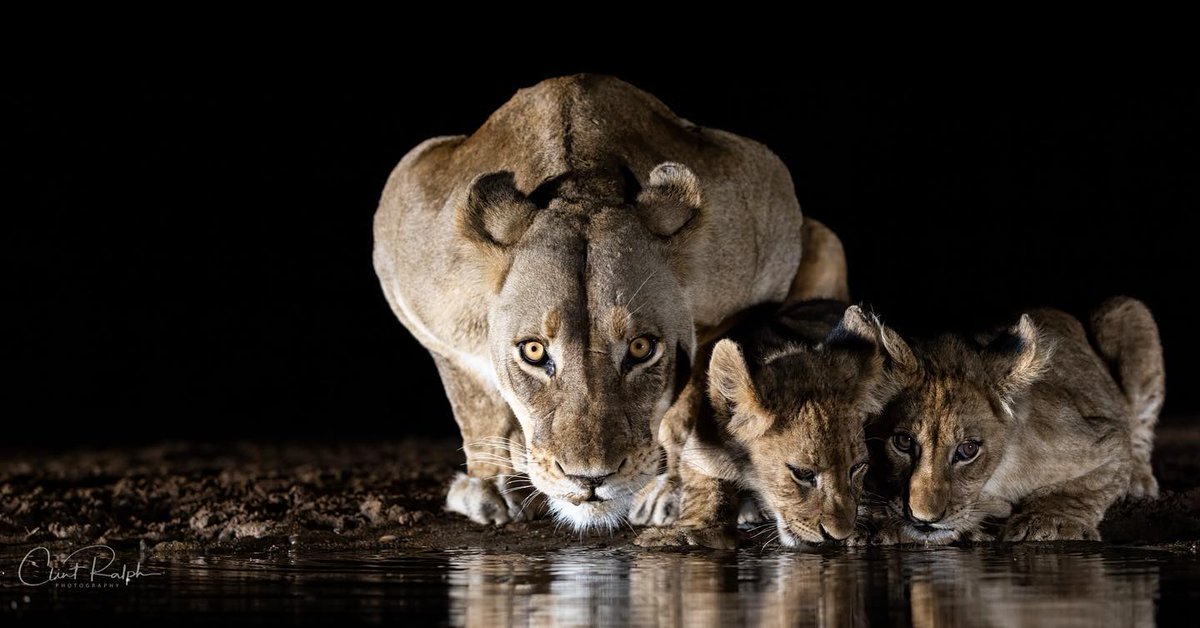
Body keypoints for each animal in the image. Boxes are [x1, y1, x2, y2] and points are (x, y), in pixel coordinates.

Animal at [372, 75, 848, 530]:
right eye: (534, 351)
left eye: (641, 348)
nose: (589, 479)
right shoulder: (422, 298)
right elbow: (474, 404)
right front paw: (490, 487)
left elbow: (690, 402)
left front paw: (672, 491)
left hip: (826, 241)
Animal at [634, 301, 904, 548]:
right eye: (802, 474)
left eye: (857, 467)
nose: (838, 535)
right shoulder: (700, 447)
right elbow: (705, 490)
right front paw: (691, 531)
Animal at [869, 297, 1164, 544]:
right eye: (903, 442)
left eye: (968, 449)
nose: (923, 519)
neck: (992, 479)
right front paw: (882, 523)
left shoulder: (1104, 438)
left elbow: (1081, 488)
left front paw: (1049, 522)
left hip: (1125, 310)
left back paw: (1139, 483)